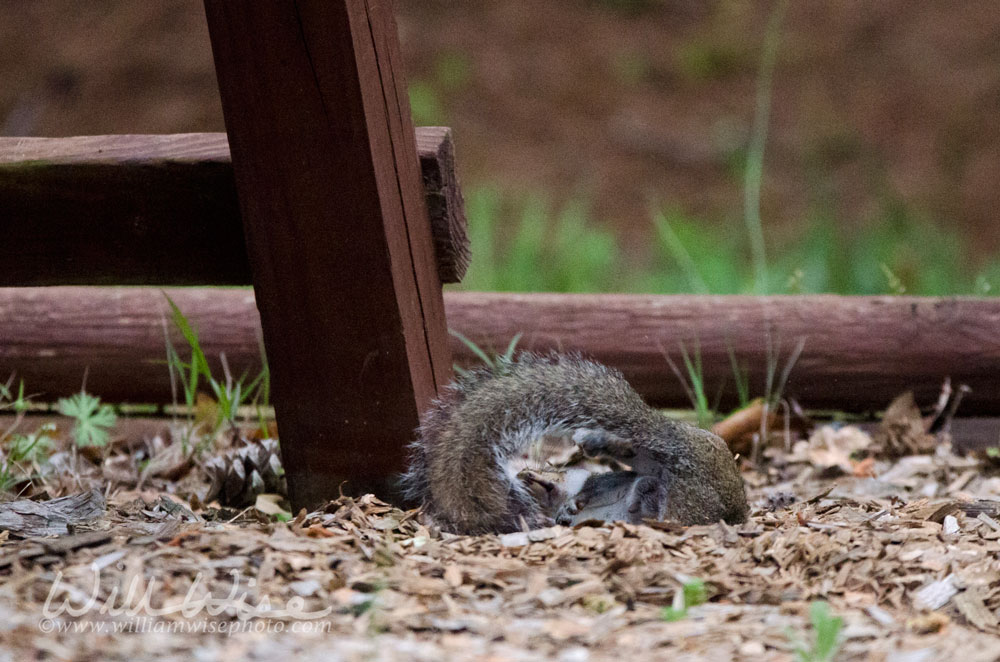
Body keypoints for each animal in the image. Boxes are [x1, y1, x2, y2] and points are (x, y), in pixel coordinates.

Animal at [402, 356, 748, 536]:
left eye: (542, 472)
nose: (528, 478)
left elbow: (587, 490)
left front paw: (569, 502)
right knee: (637, 454)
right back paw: (603, 447)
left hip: (690, 503)